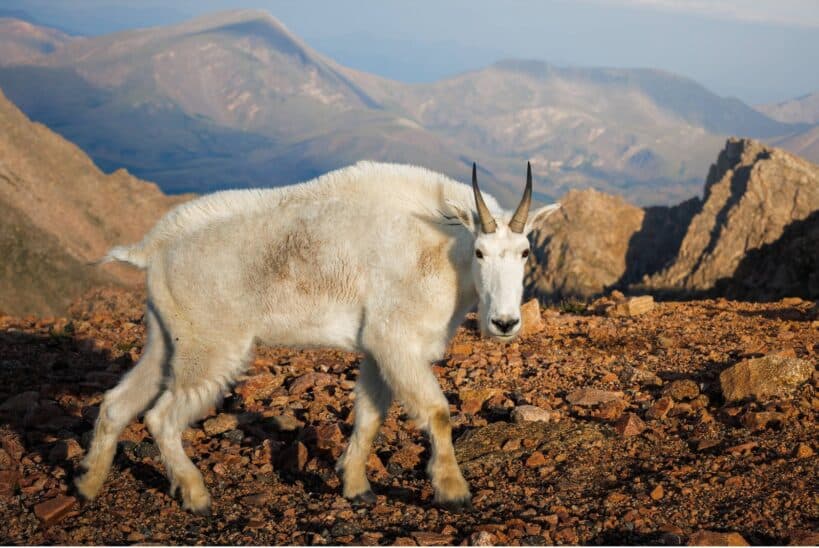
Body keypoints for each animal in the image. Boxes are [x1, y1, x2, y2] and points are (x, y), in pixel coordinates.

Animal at [75, 161, 560, 513]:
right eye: (480, 252)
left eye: (525, 252)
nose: (505, 323)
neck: (440, 249)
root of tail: (153, 247)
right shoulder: (396, 341)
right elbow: (438, 412)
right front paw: (454, 491)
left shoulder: (375, 349)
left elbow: (369, 417)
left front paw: (356, 488)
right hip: (211, 344)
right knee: (160, 417)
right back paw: (196, 496)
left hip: (167, 336)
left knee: (117, 403)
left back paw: (86, 484)